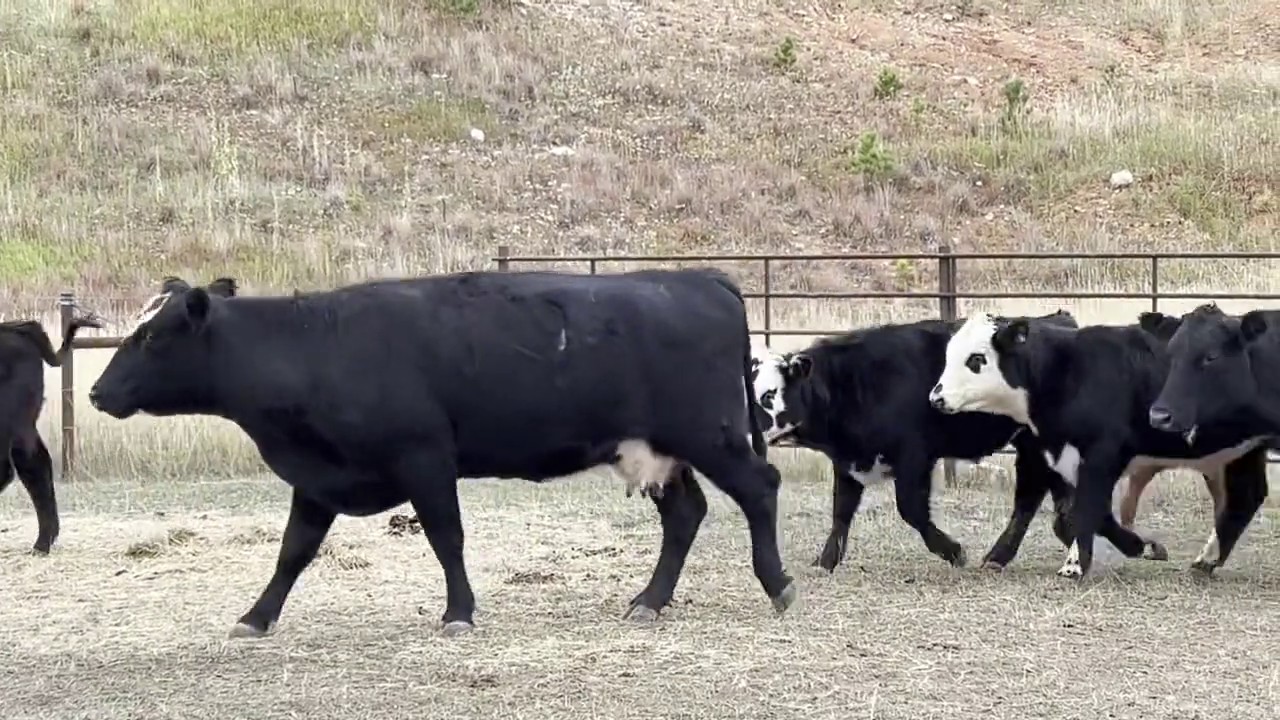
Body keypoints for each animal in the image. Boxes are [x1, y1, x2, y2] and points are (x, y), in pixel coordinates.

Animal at [87, 267, 798, 632]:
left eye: (151, 337)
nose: (95, 391)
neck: (315, 344)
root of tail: (696, 277)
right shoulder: (318, 479)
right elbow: (293, 551)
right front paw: (257, 617)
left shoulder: (424, 460)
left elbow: (445, 537)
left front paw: (459, 612)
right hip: (656, 449)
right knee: (685, 514)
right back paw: (650, 600)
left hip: (710, 435)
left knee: (759, 489)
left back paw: (777, 584)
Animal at [747, 308, 1157, 571]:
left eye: (769, 395)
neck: (855, 381)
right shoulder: (848, 464)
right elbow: (841, 512)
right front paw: (826, 560)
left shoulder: (914, 457)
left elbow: (911, 510)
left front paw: (953, 551)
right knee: (1061, 507)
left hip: (1033, 453)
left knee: (1031, 502)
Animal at [931, 310, 1269, 576]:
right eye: (948, 356)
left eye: (977, 359)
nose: (937, 397)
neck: (1068, 369)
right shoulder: (1045, 456)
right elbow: (1053, 508)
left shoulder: (1102, 454)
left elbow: (1085, 507)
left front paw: (1076, 564)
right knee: (1247, 496)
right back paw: (1206, 561)